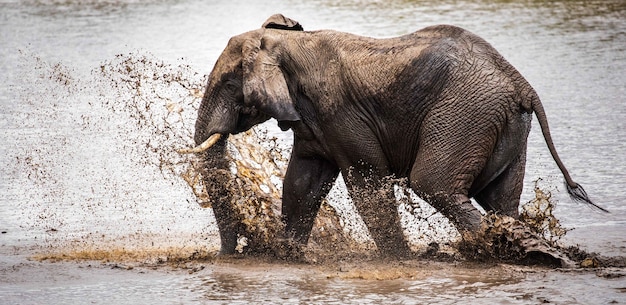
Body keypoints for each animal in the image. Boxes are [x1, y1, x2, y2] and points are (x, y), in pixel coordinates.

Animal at [185, 14, 604, 256]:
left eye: (228, 84)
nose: (231, 254)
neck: (287, 44)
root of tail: (521, 83)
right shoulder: (314, 122)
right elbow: (303, 182)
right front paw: (288, 255)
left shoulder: (339, 111)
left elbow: (366, 182)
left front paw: (399, 260)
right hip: (503, 124)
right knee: (501, 201)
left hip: (465, 113)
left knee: (434, 184)